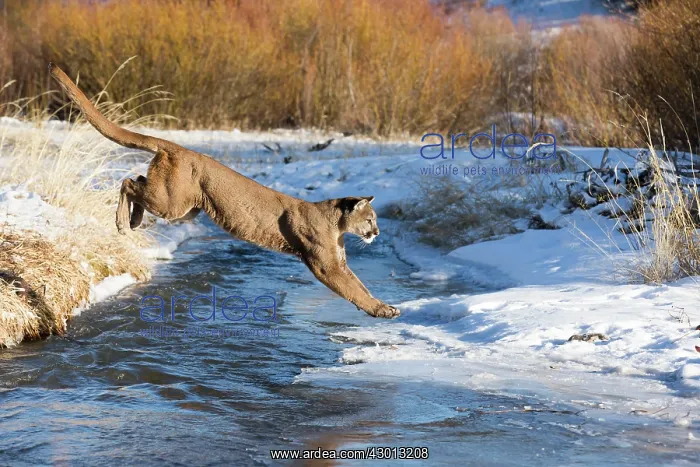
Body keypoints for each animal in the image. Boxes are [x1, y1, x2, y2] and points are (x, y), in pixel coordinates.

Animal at [48, 63, 400, 319]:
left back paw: (132, 221)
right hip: (173, 203)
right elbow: (352, 289)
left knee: (135, 178)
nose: (377, 232)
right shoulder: (326, 264)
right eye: (370, 219)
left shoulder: (340, 261)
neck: (336, 224)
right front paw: (381, 311)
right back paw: (124, 222)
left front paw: (386, 306)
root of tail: (177, 147)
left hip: (182, 205)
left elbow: (360, 285)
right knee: (127, 182)